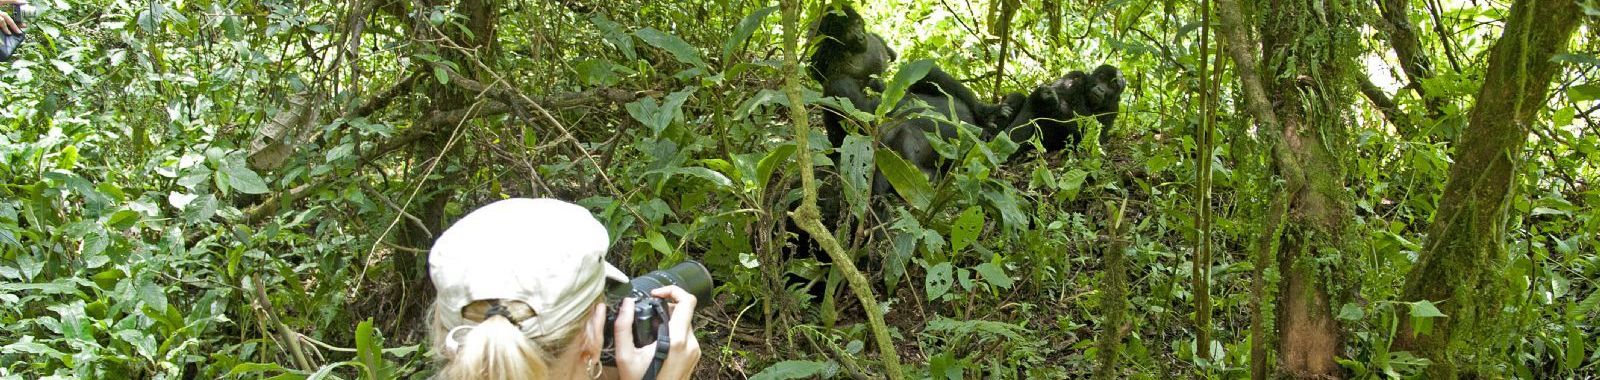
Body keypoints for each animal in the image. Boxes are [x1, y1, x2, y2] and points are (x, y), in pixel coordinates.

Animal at [998, 64, 1126, 156]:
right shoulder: (1075, 76)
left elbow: (1091, 139)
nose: (1101, 89)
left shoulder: (1114, 108)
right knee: (1021, 99)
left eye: (1112, 86)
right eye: (1102, 78)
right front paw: (1042, 97)